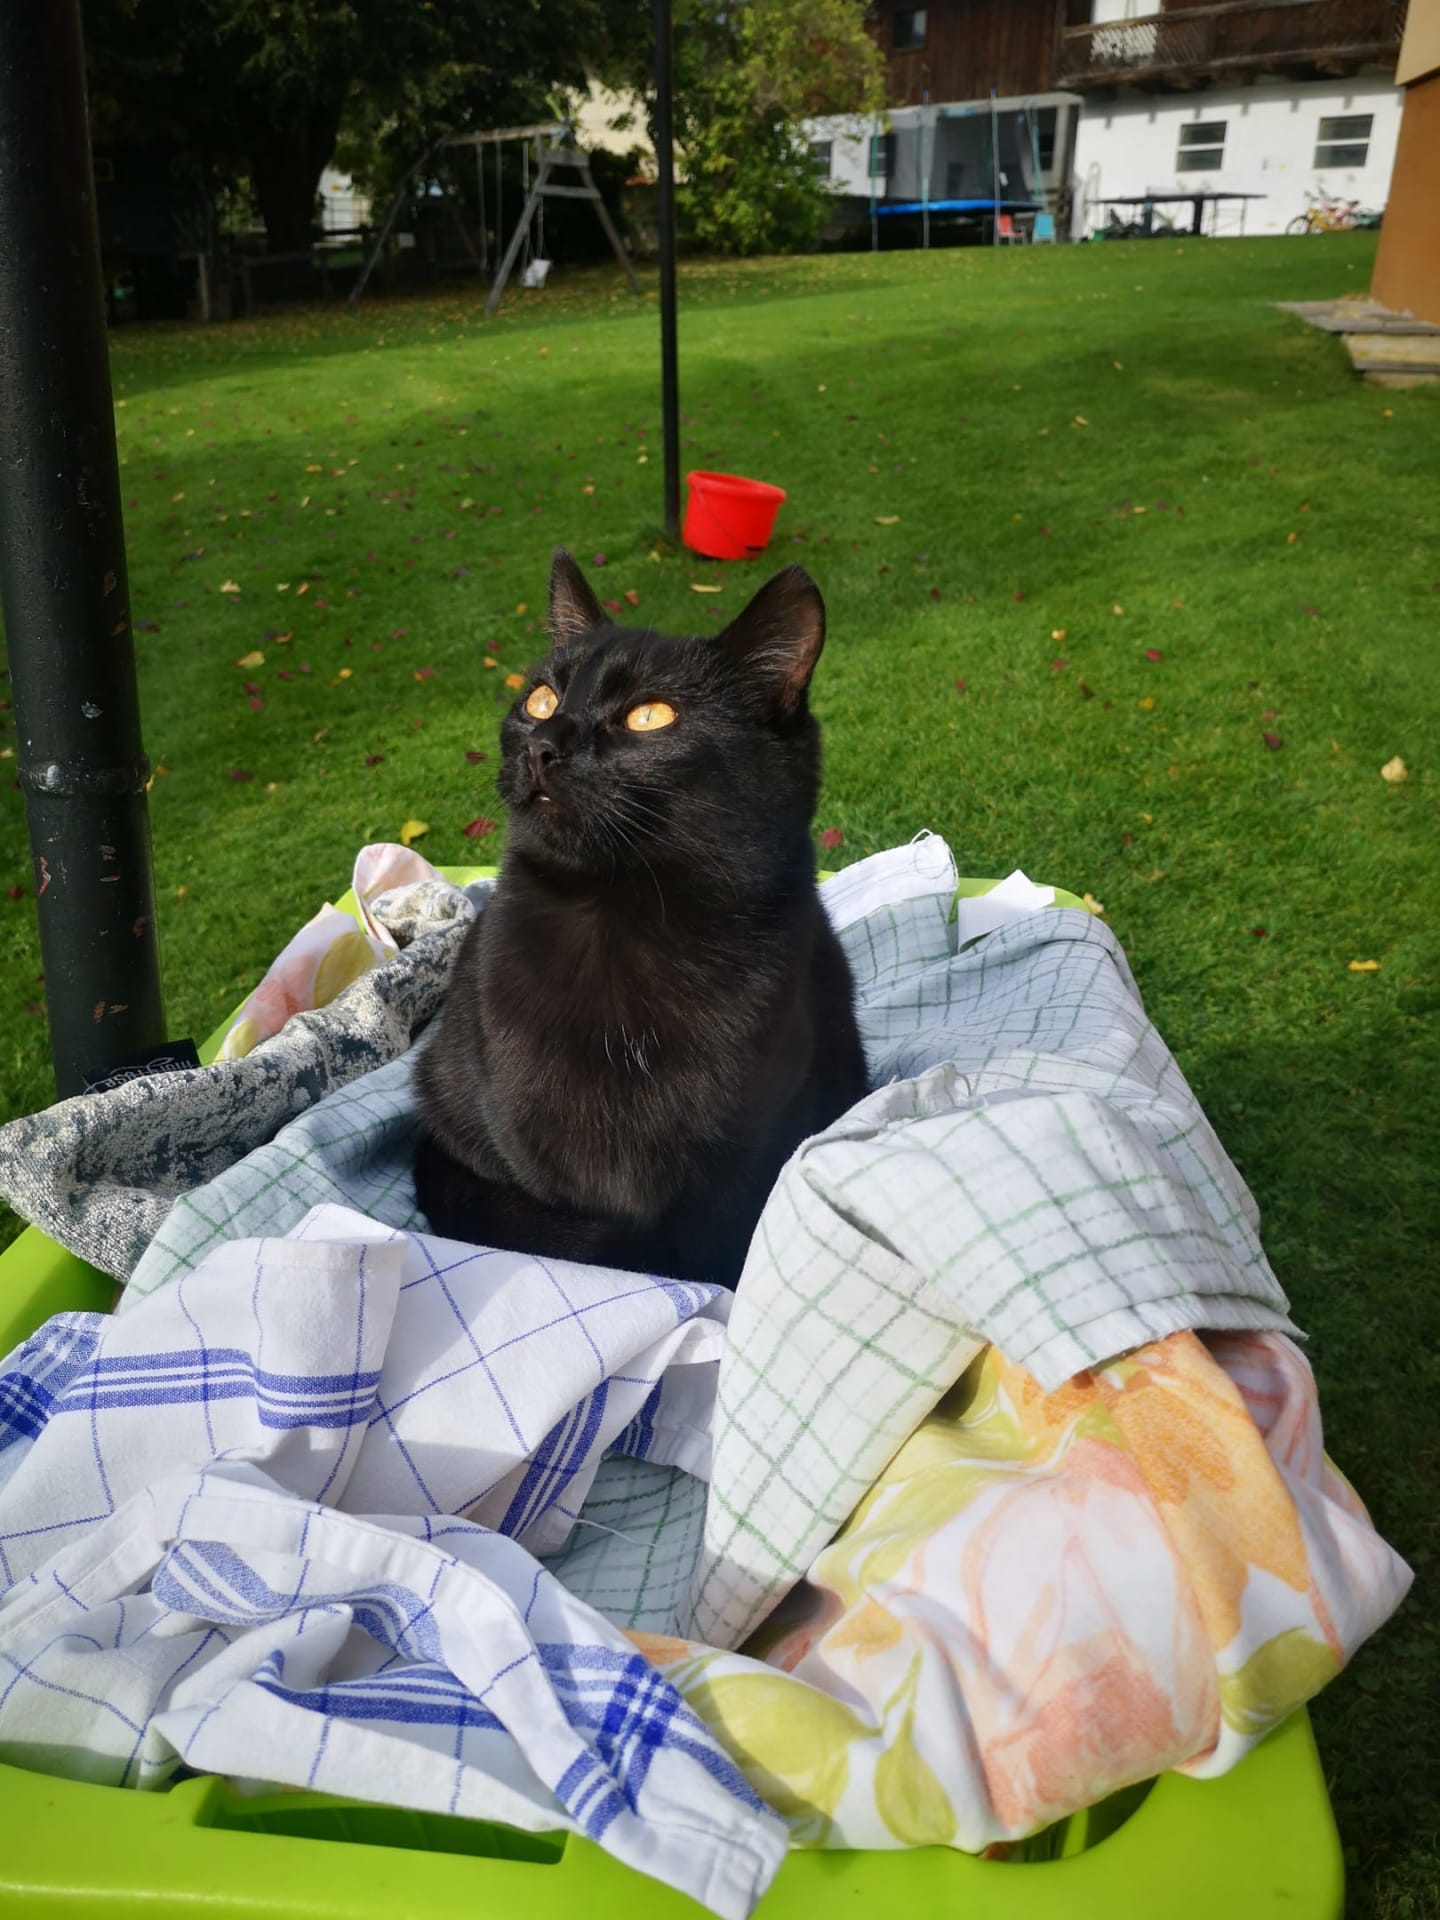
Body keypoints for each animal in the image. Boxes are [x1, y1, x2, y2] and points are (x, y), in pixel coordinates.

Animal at [412, 548, 869, 1289]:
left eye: (650, 716)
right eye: (540, 699)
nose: (543, 742)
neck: (627, 919)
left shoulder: (753, 1143)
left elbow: (729, 1248)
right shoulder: (542, 1150)